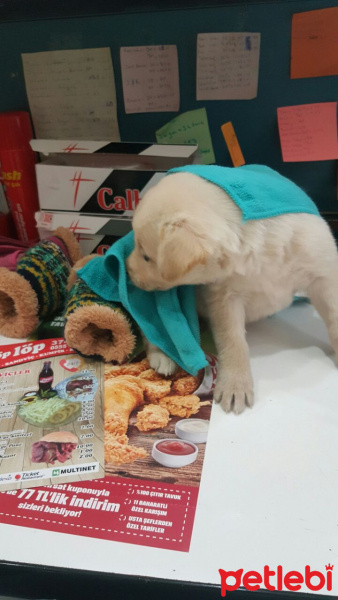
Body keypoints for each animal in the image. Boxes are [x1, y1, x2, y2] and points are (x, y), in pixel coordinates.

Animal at [126, 169, 338, 412]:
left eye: (146, 257)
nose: (127, 269)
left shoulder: (324, 277)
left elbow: (334, 318)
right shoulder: (224, 298)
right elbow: (234, 342)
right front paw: (235, 384)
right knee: (150, 328)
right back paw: (163, 356)